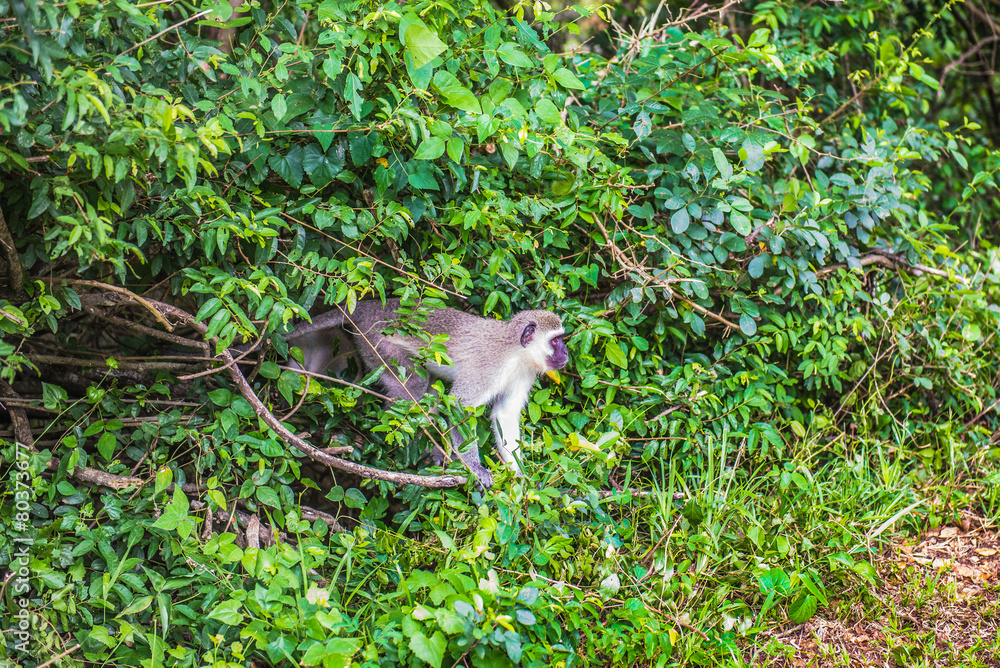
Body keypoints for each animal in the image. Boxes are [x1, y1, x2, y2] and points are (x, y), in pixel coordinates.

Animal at [282, 298, 569, 489]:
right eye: (556, 341)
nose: (566, 353)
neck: (516, 354)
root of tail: (365, 307)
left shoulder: (525, 373)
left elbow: (505, 414)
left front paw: (519, 476)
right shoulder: (487, 366)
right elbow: (460, 405)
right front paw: (476, 468)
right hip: (375, 344)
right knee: (415, 387)